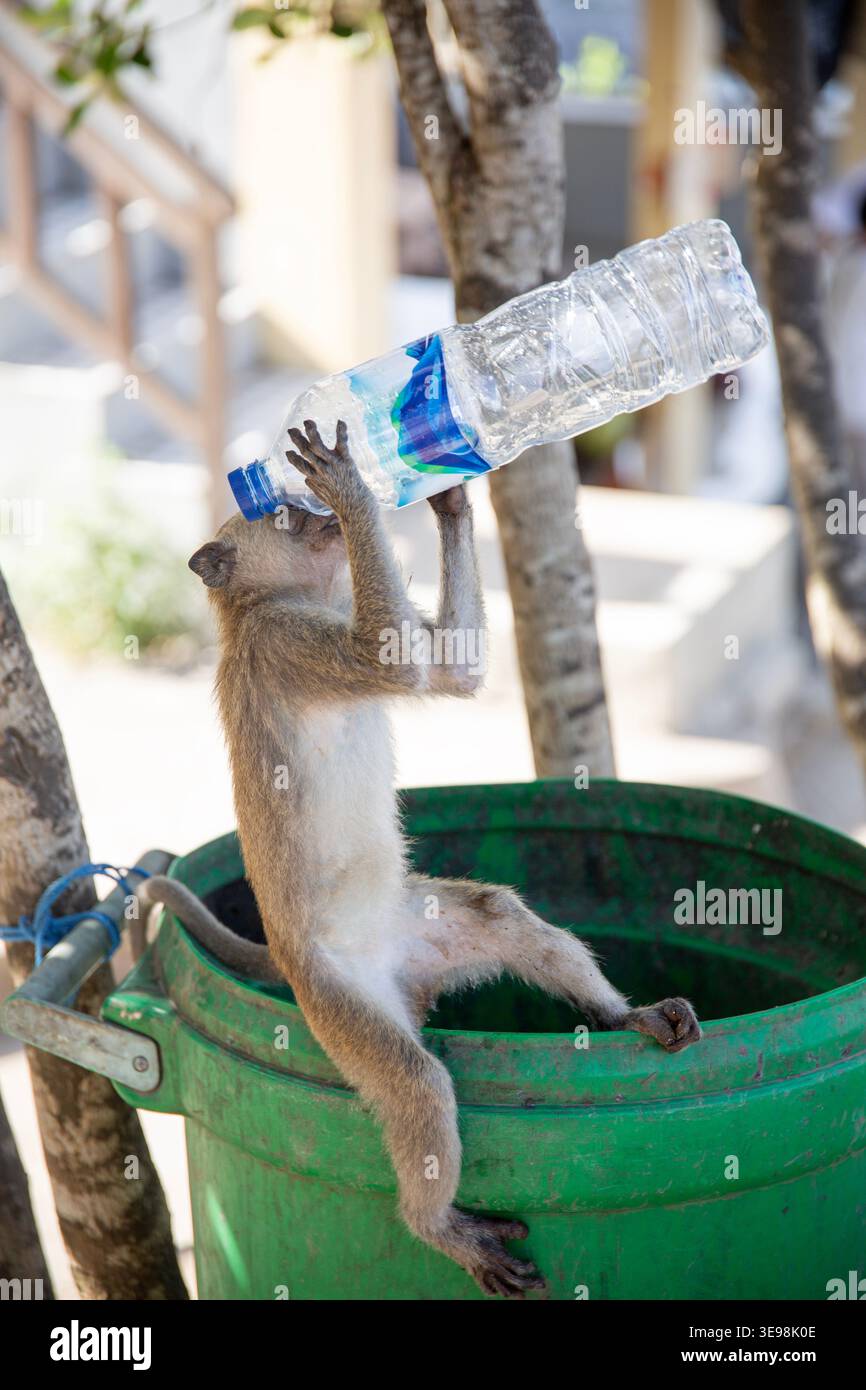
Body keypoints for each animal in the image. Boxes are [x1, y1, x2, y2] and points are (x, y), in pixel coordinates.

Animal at [156, 418, 701, 1298]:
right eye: (285, 516)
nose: (320, 518)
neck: (275, 602)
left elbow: (452, 670)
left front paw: (446, 486)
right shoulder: (286, 641)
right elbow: (392, 663)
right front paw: (357, 485)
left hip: (422, 933)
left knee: (497, 915)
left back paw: (624, 1018)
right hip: (340, 1006)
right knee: (414, 1082)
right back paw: (437, 1226)